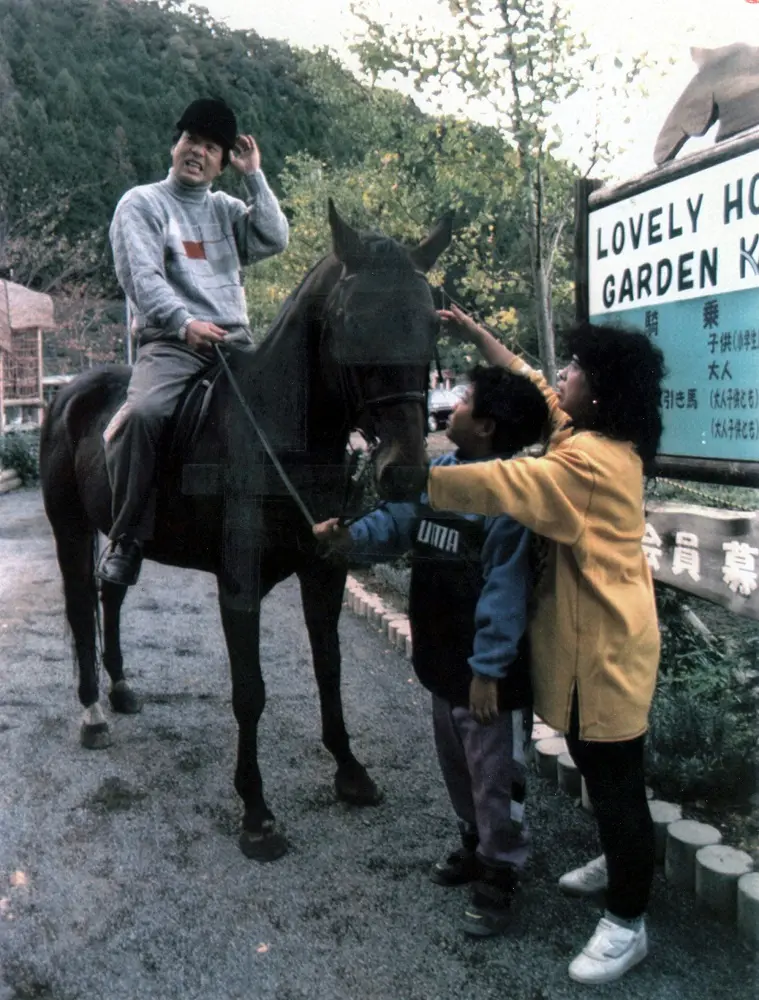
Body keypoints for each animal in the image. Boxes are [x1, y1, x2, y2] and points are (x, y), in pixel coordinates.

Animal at [40, 201, 452, 860]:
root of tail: (68, 394)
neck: (282, 434)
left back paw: (122, 688)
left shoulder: (325, 569)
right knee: (83, 608)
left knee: (112, 593)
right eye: (351, 323)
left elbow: (329, 667)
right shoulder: (239, 585)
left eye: (431, 323)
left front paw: (349, 771)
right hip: (71, 530)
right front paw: (256, 813)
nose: (405, 471)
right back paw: (93, 713)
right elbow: (250, 690)